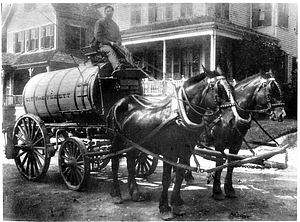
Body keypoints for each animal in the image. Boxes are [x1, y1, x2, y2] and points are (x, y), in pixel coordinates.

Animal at [105, 67, 248, 219]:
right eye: (218, 91)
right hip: (117, 140)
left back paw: (136, 193)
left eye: (232, 90)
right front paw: (164, 208)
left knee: (131, 162)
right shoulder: (169, 153)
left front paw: (177, 204)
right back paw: (116, 194)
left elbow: (179, 175)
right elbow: (167, 179)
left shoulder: (186, 152)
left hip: (134, 143)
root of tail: (118, 103)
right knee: (115, 163)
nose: (232, 120)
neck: (181, 116)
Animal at [185, 70, 286, 200]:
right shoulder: (219, 142)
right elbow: (219, 162)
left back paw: (188, 176)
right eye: (271, 90)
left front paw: (229, 189)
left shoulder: (237, 142)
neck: (235, 113)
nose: (282, 115)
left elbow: (231, 163)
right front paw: (217, 191)